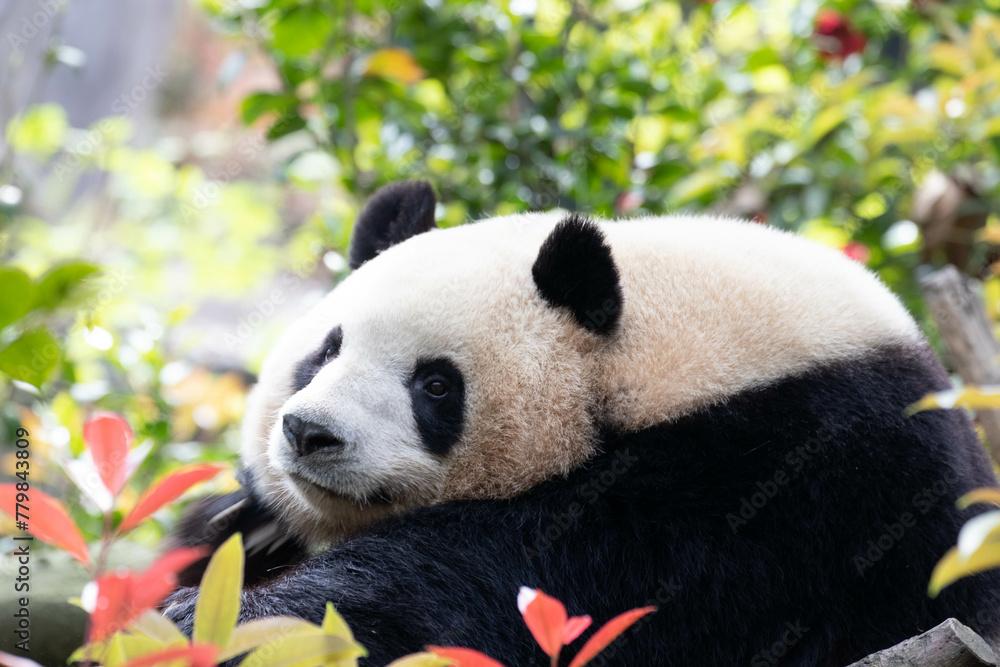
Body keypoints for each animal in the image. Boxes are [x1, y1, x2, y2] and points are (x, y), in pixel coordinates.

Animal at [165, 180, 1000, 666]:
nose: (310, 432)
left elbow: (507, 590)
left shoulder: (778, 479)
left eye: (435, 384)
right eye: (327, 349)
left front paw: (229, 619)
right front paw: (231, 536)